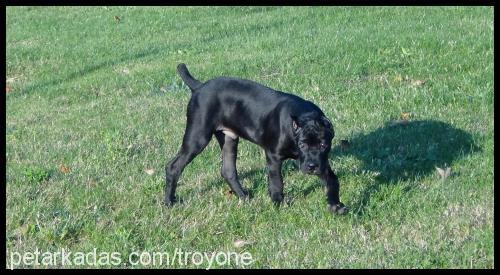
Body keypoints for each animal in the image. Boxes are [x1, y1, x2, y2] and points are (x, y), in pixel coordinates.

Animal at [164, 64, 348, 216]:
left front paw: (335, 205)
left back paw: (244, 197)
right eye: (302, 144)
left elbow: (332, 180)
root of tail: (199, 87)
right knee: (174, 167)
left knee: (228, 170)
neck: (303, 117)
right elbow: (277, 182)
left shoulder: (322, 161)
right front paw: (278, 204)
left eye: (324, 145)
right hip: (198, 137)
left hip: (229, 138)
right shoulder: (273, 157)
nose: (311, 167)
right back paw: (168, 202)